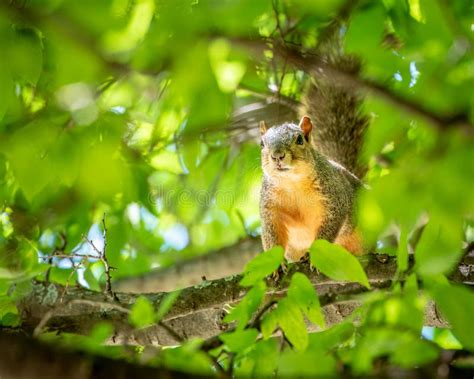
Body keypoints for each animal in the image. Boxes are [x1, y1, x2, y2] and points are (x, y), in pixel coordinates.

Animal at [260, 50, 366, 262]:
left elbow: (328, 229)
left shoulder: (335, 199)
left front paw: (313, 256)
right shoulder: (270, 208)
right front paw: (276, 264)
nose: (277, 156)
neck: (292, 183)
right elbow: (271, 235)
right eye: (262, 144)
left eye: (300, 139)